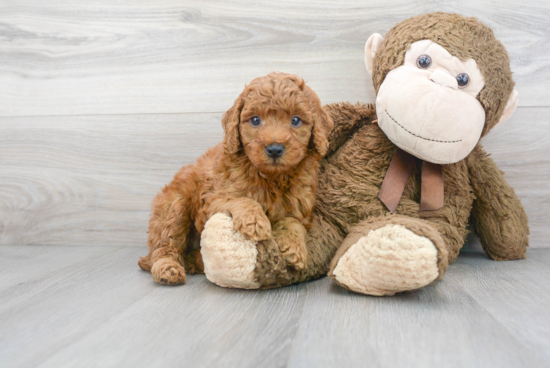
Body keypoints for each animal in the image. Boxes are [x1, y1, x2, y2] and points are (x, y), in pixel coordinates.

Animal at [140, 71, 334, 284]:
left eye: (296, 120)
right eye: (255, 120)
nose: (274, 149)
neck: (271, 178)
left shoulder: (301, 206)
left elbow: (294, 222)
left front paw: (294, 247)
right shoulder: (211, 201)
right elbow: (240, 199)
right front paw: (255, 221)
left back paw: (195, 262)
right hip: (173, 210)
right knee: (165, 247)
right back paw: (168, 269)